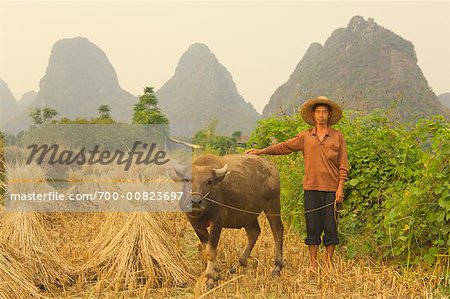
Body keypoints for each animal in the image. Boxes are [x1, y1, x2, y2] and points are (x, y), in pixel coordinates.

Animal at [172, 154, 284, 290]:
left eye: (209, 181)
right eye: (187, 180)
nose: (196, 202)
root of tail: (271, 167)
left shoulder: (217, 222)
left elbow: (211, 249)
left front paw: (210, 278)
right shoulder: (195, 223)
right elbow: (206, 247)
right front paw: (216, 270)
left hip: (273, 204)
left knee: (277, 230)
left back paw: (277, 267)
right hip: (247, 215)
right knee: (254, 232)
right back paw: (238, 264)